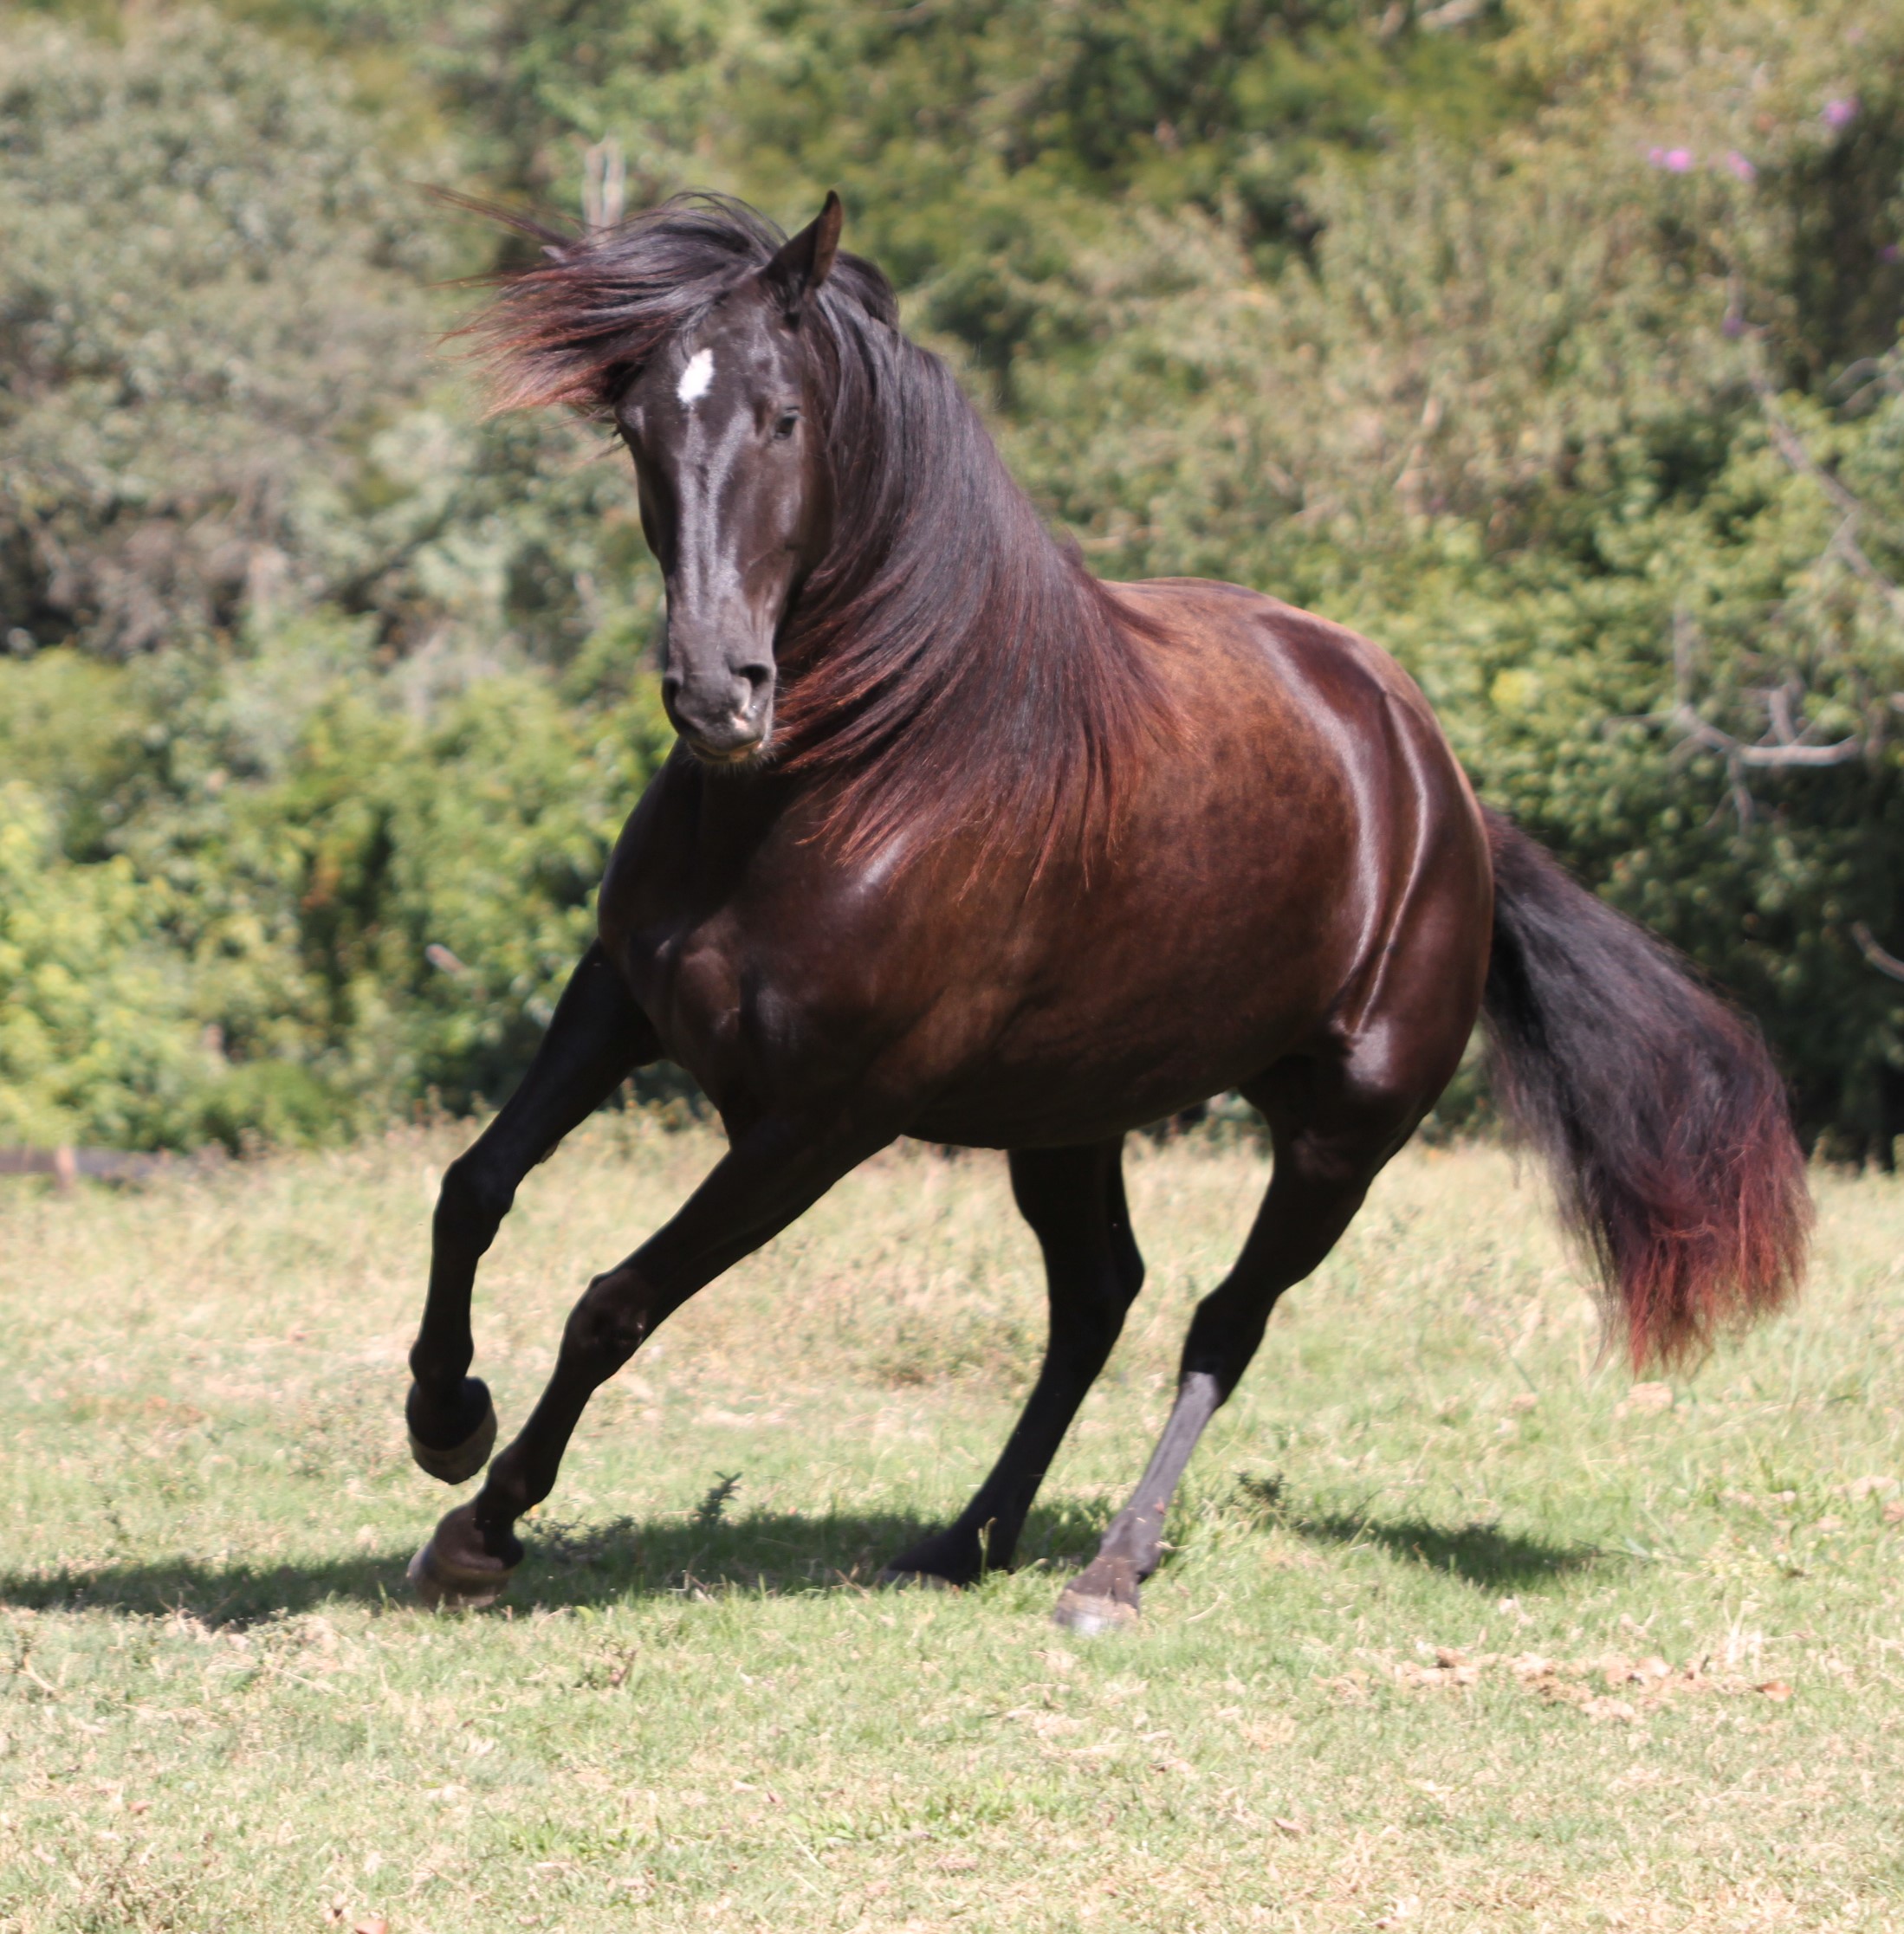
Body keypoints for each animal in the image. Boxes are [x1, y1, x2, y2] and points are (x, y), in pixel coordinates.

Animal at [403, 191, 1811, 1628]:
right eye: (637, 426)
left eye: (783, 417)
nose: (714, 693)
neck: (857, 778)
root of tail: (1443, 790)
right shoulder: (621, 1001)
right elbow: (473, 1185)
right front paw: (445, 1419)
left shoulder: (819, 1122)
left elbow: (615, 1302)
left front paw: (482, 1525)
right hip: (1066, 1116)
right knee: (1095, 1301)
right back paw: (966, 1536)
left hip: (1338, 1137)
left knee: (1221, 1320)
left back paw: (1111, 1566)